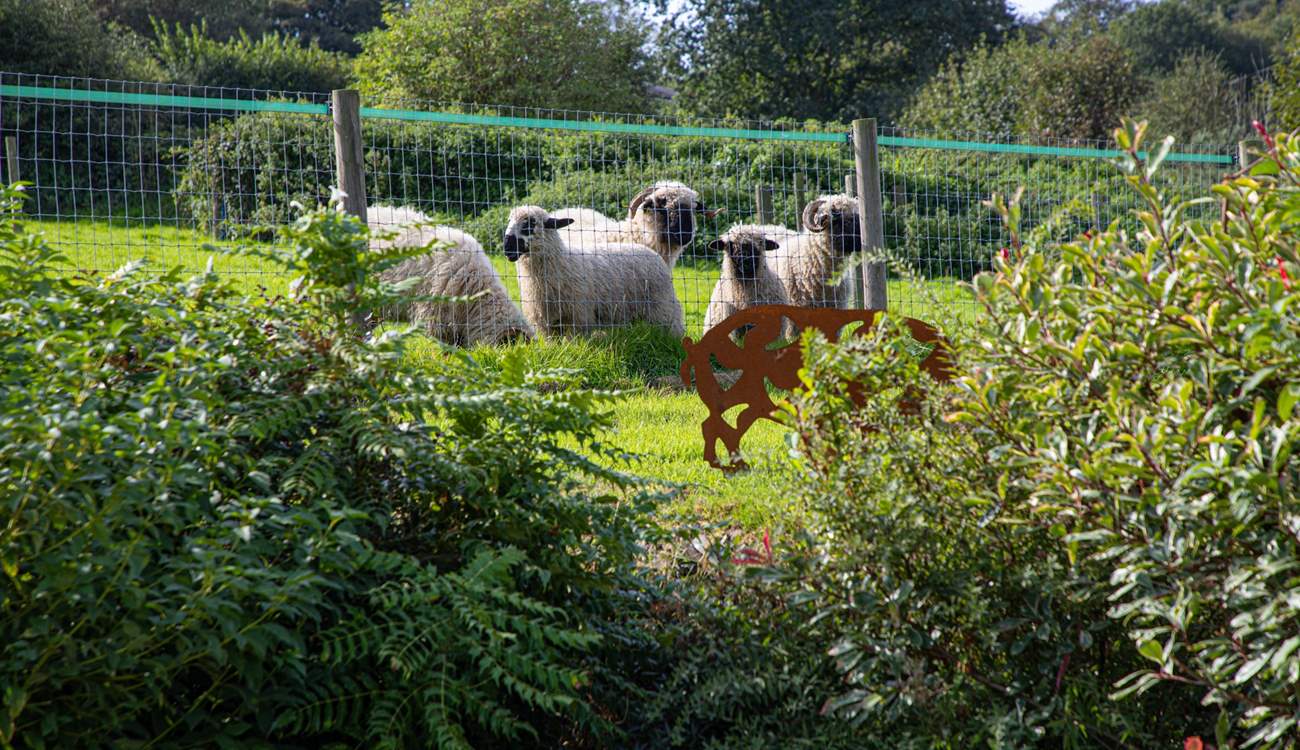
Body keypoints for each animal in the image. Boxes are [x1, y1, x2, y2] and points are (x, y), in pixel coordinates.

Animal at [502, 205, 685, 338]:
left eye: (530, 223)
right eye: (509, 221)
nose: (507, 247)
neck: (562, 262)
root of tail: (649, 251)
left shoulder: (578, 318)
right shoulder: (544, 321)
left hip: (662, 307)